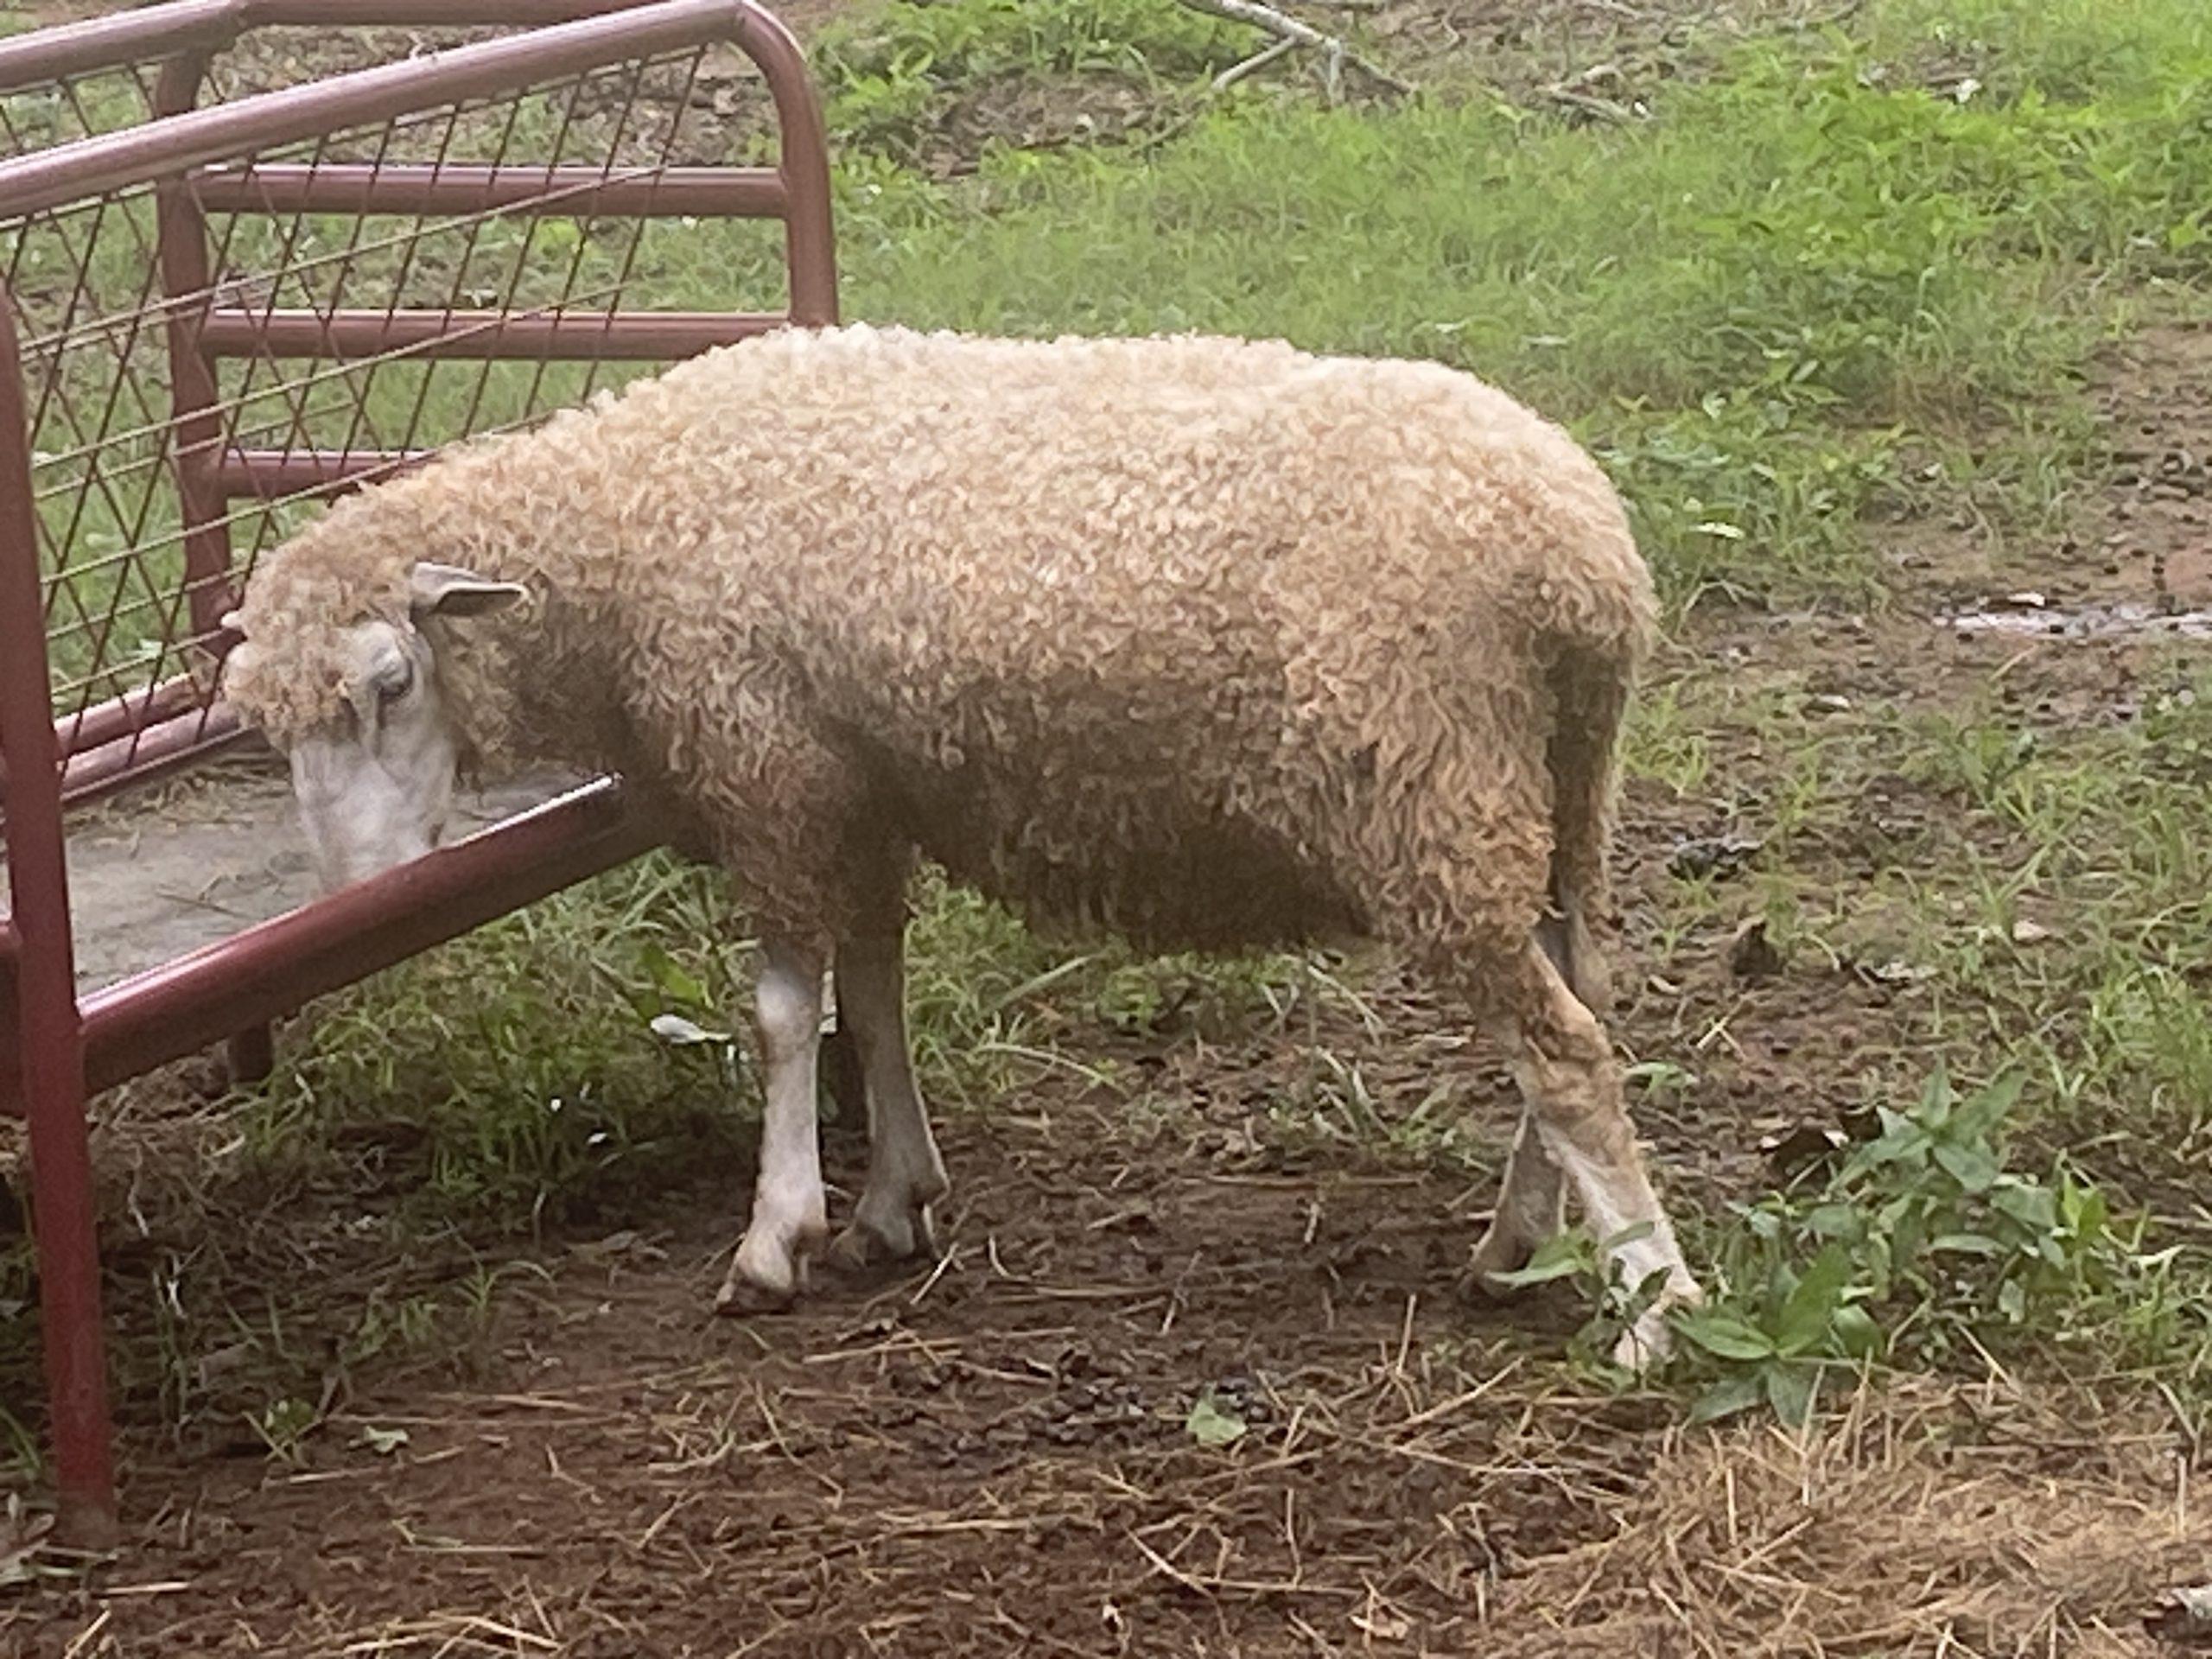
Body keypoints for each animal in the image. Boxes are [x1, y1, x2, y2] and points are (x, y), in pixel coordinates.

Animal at [219, 322, 1704, 1366]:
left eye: (390, 684)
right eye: (270, 726)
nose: (355, 893)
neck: (637, 527)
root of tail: (1580, 561)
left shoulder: (775, 775)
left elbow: (782, 1016)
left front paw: (777, 1236)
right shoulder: (862, 790)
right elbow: (874, 996)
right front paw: (896, 1201)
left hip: (1427, 793)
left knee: (1564, 1052)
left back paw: (1654, 1307)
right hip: (1559, 792)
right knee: (1577, 1006)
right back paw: (1519, 1247)